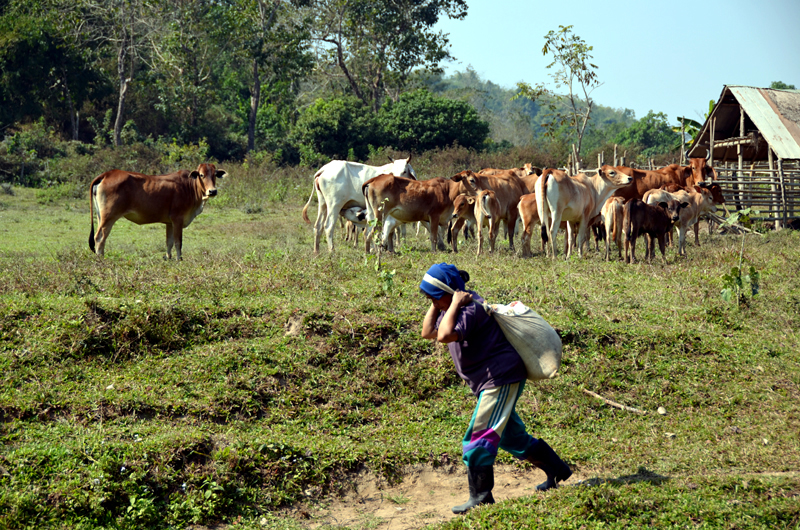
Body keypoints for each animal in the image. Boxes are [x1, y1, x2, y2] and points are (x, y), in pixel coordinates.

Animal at [88, 163, 226, 260]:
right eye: (201, 175)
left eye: (214, 175)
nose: (212, 191)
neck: (189, 187)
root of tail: (107, 174)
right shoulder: (178, 219)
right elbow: (178, 242)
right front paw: (179, 259)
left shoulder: (170, 223)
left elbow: (169, 242)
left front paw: (168, 258)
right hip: (109, 217)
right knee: (99, 237)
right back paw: (101, 259)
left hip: (101, 217)